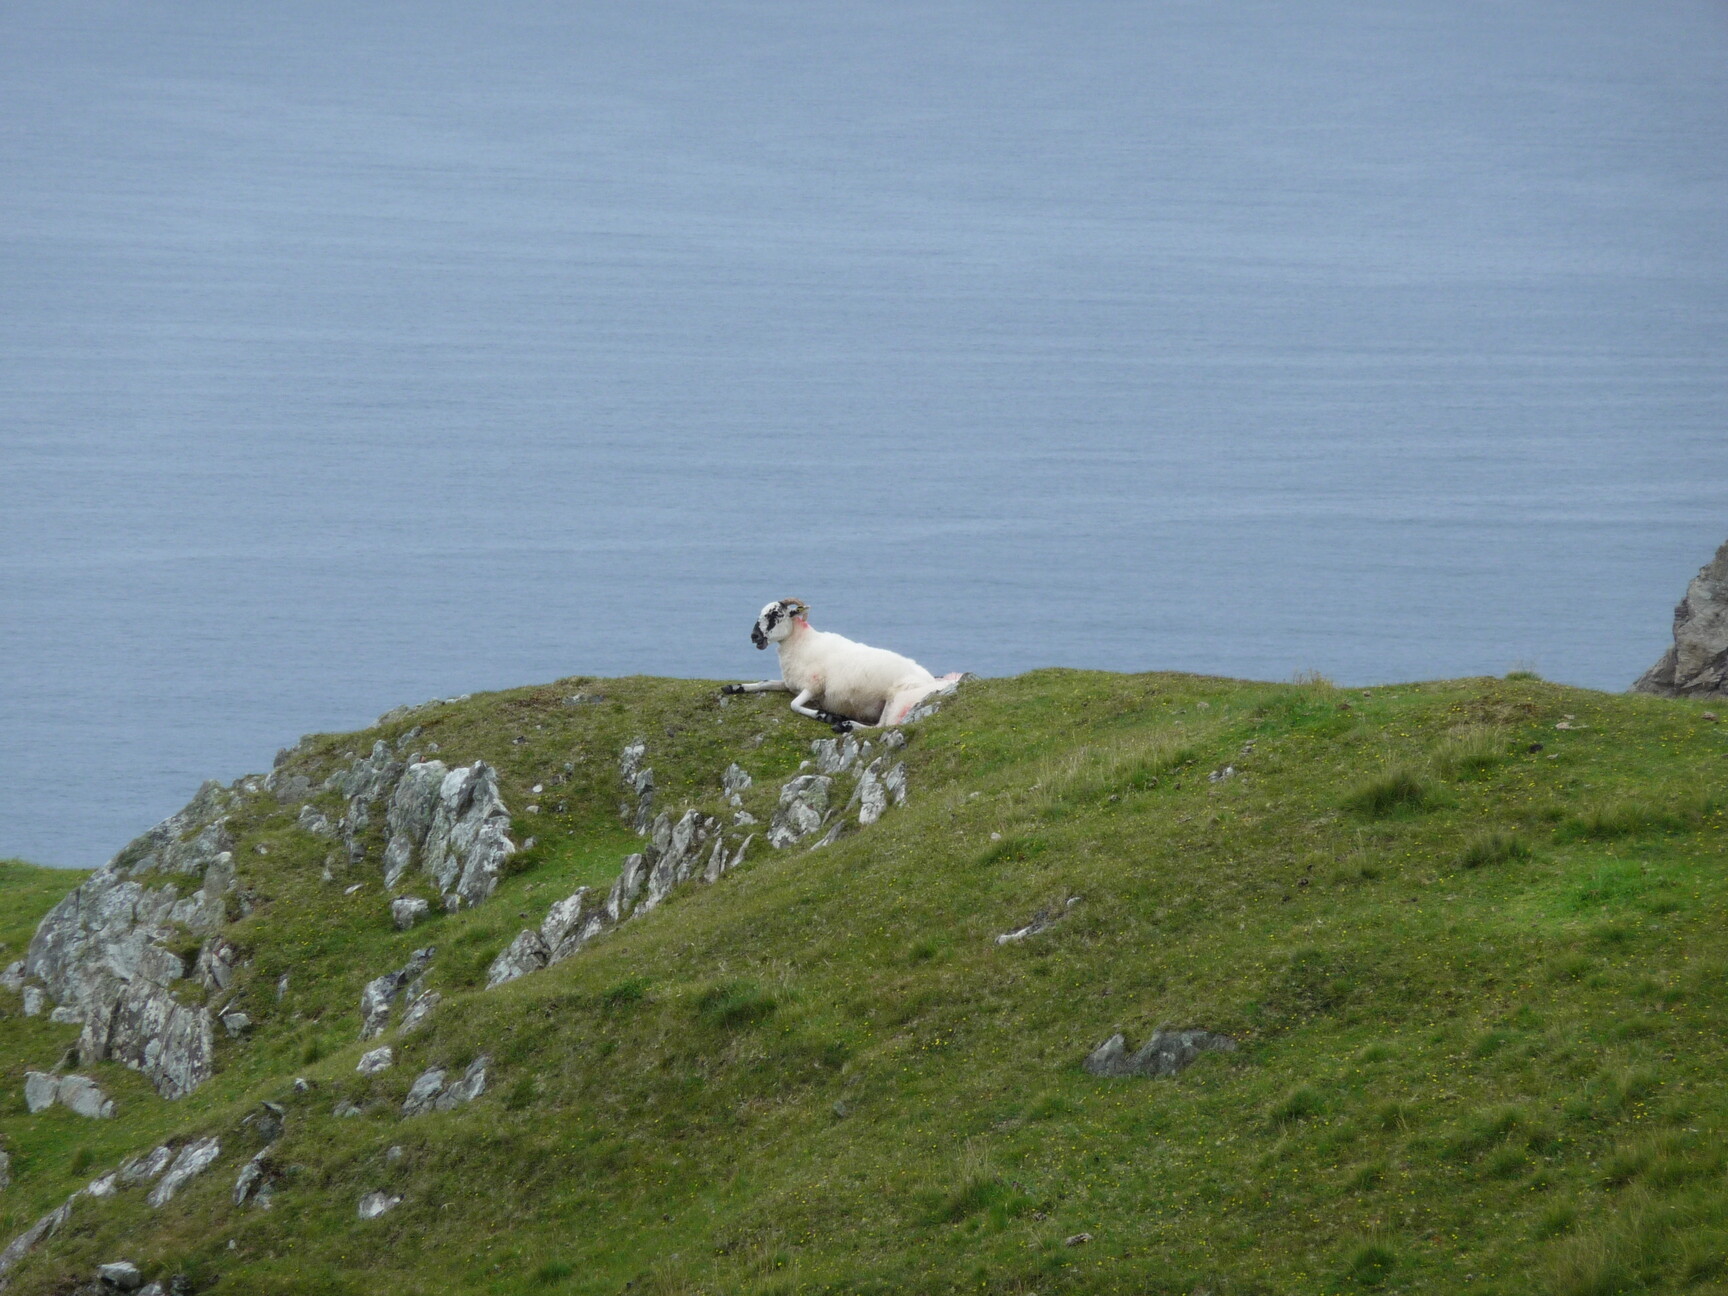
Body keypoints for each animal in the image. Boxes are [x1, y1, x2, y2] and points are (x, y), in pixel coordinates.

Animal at [721, 598, 962, 733]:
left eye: (776, 614)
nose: (754, 636)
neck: (801, 644)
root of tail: (935, 682)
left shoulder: (814, 687)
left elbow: (794, 705)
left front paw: (824, 715)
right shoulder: (790, 684)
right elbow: (765, 682)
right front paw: (734, 687)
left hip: (896, 700)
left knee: (882, 726)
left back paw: (843, 724)